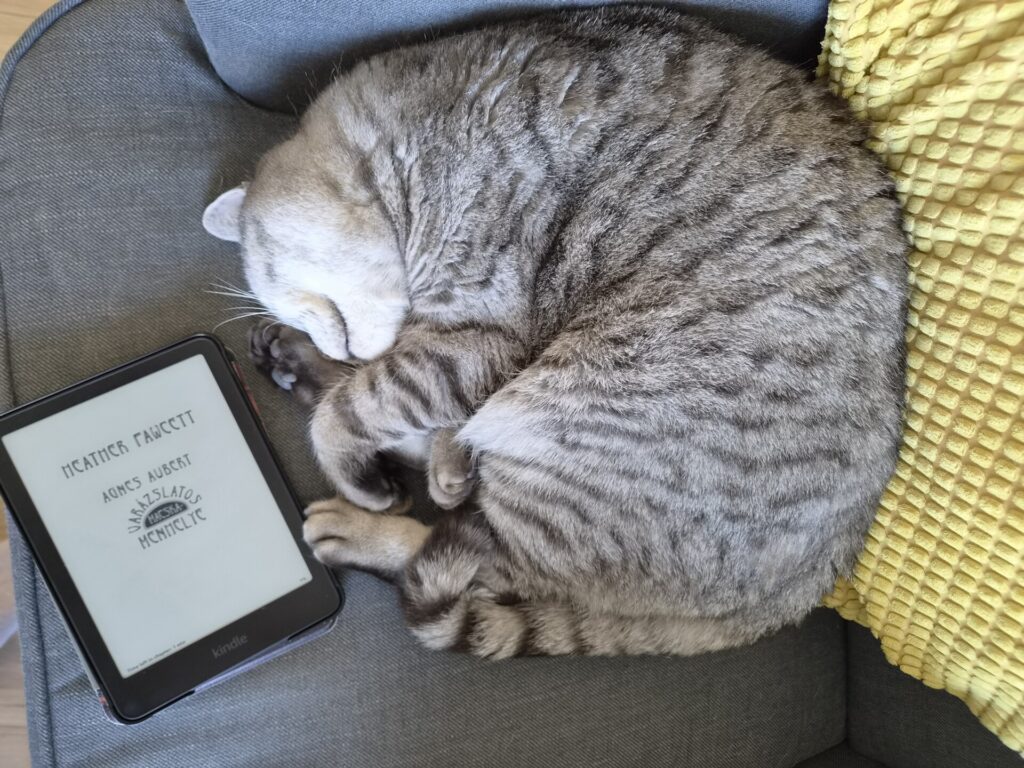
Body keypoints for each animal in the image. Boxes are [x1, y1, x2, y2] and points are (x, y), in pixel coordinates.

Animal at [202, 5, 907, 658]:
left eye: (309, 303)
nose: (322, 339)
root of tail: (795, 595)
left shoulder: (473, 333)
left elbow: (353, 409)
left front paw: (364, 468)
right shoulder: (454, 347)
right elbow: (386, 398)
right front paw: (418, 440)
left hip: (555, 430)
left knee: (482, 561)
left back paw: (360, 517)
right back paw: (306, 375)